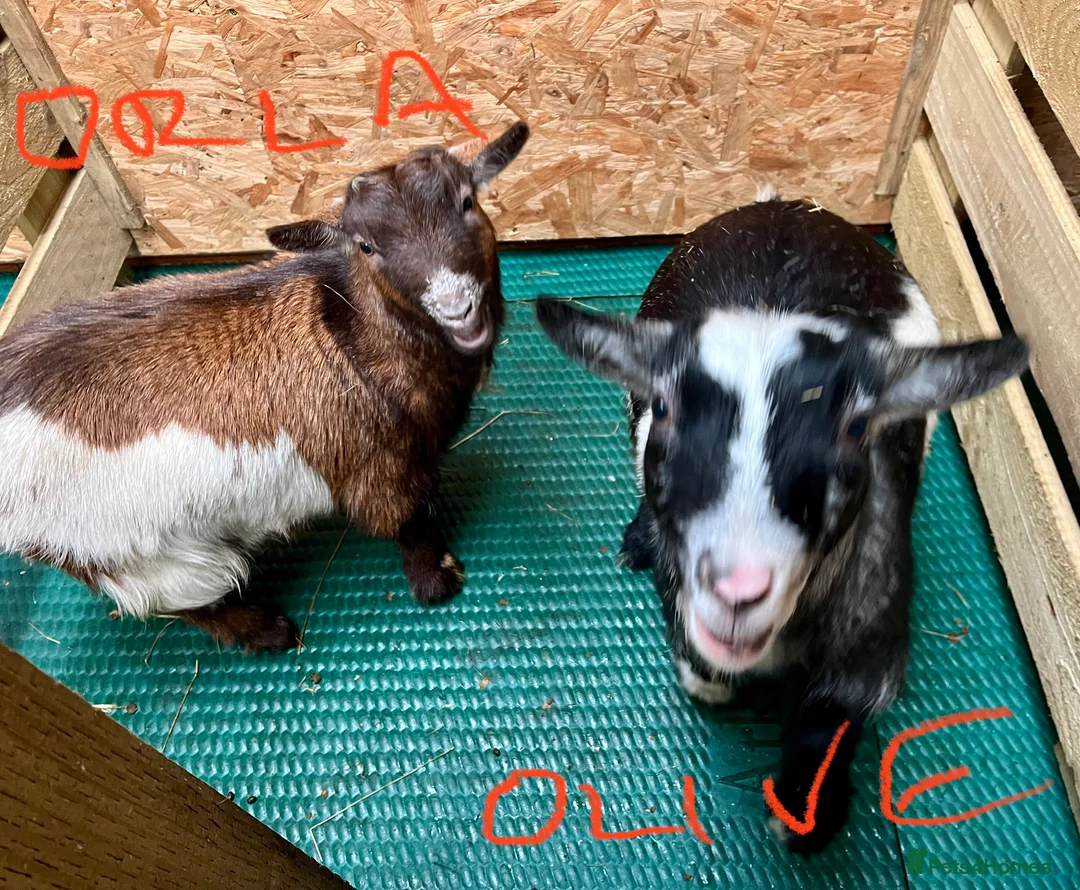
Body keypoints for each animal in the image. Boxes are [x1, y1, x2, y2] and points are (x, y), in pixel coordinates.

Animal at [0, 121, 530, 652]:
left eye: (467, 201)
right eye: (366, 246)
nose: (457, 308)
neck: (355, 331)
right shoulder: (379, 467)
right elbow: (408, 523)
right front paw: (439, 581)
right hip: (126, 553)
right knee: (188, 600)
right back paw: (268, 631)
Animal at [534, 194, 1028, 854]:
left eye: (856, 428)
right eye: (665, 407)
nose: (738, 590)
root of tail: (787, 207)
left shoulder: (869, 635)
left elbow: (833, 718)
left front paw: (806, 815)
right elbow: (703, 671)